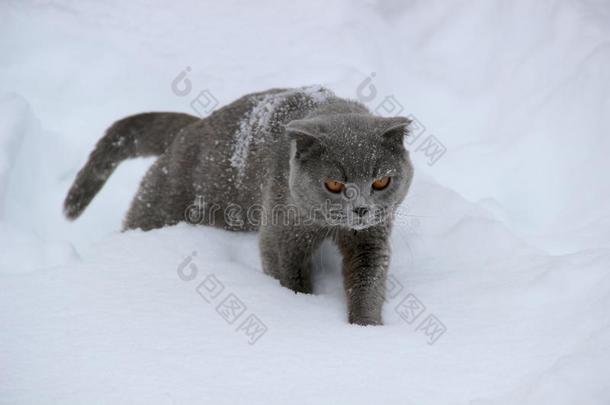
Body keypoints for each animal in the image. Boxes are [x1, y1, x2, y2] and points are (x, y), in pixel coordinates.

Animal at [64, 86, 410, 326]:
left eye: (381, 182)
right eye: (335, 185)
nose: (361, 208)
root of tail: (190, 128)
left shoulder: (371, 238)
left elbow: (368, 281)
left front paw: (365, 328)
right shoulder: (281, 234)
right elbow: (290, 278)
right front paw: (301, 307)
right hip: (160, 206)